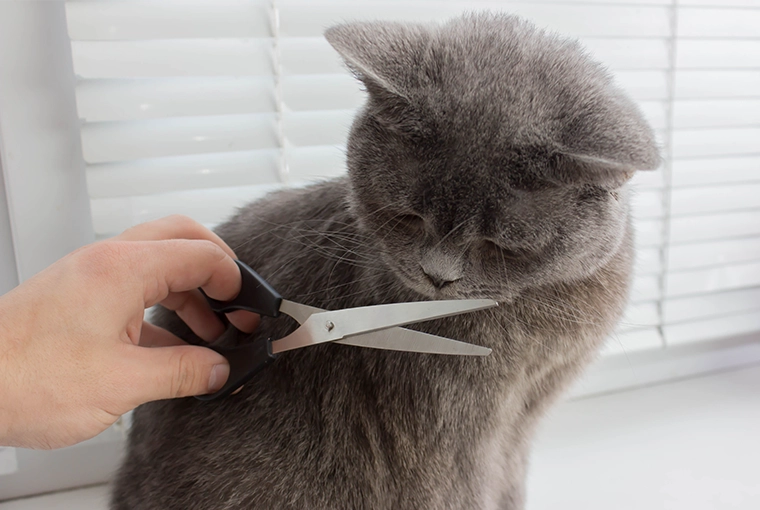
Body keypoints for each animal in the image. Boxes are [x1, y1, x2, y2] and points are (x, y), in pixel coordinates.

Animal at [111, 12, 660, 510]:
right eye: (409, 216)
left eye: (500, 246)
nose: (437, 276)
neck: (538, 327)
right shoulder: (454, 439)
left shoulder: (526, 418)